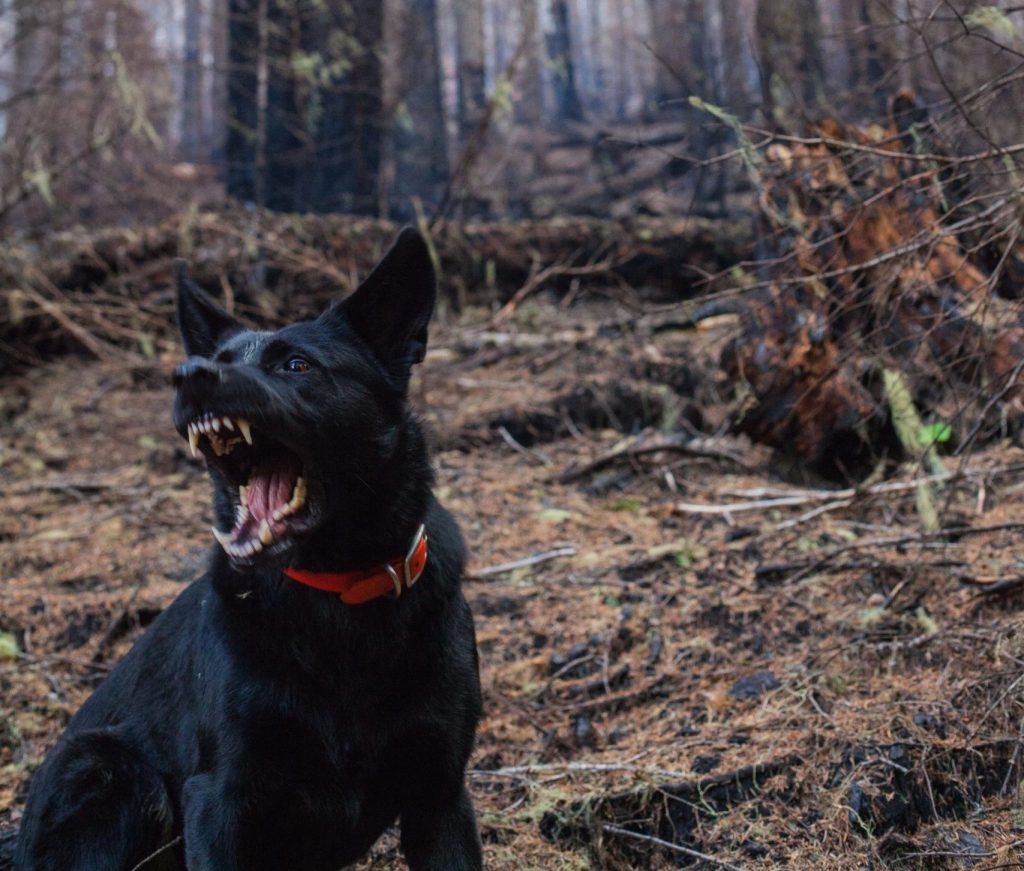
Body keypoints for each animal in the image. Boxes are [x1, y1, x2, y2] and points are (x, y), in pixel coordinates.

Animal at [12, 228, 483, 867]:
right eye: (221, 360)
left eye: (296, 364)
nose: (188, 373)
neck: (336, 595)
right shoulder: (220, 796)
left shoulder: (441, 796)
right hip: (113, 770)